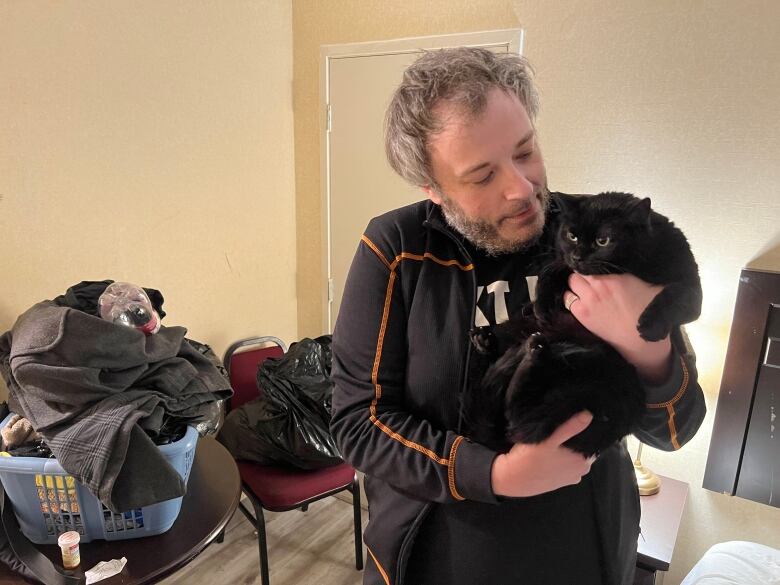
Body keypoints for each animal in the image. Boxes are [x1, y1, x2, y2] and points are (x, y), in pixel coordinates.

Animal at [464, 192, 700, 456]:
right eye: (572, 235)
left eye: (603, 240)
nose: (578, 256)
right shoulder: (565, 265)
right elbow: (552, 271)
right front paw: (541, 305)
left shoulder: (692, 285)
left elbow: (677, 294)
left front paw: (650, 327)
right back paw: (490, 341)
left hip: (597, 374)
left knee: (520, 420)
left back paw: (532, 353)